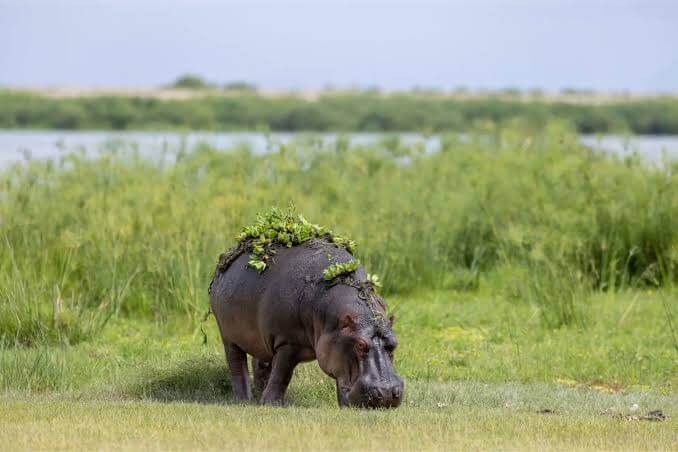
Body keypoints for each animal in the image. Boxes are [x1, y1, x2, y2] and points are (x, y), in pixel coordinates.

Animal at [208, 239, 403, 408]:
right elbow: (282, 374)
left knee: (261, 363)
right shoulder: (287, 341)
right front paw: (272, 404)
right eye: (360, 344)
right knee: (237, 365)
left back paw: (258, 396)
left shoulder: (334, 347)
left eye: (395, 344)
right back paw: (244, 400)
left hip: (262, 339)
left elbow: (339, 378)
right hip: (228, 336)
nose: (387, 393)